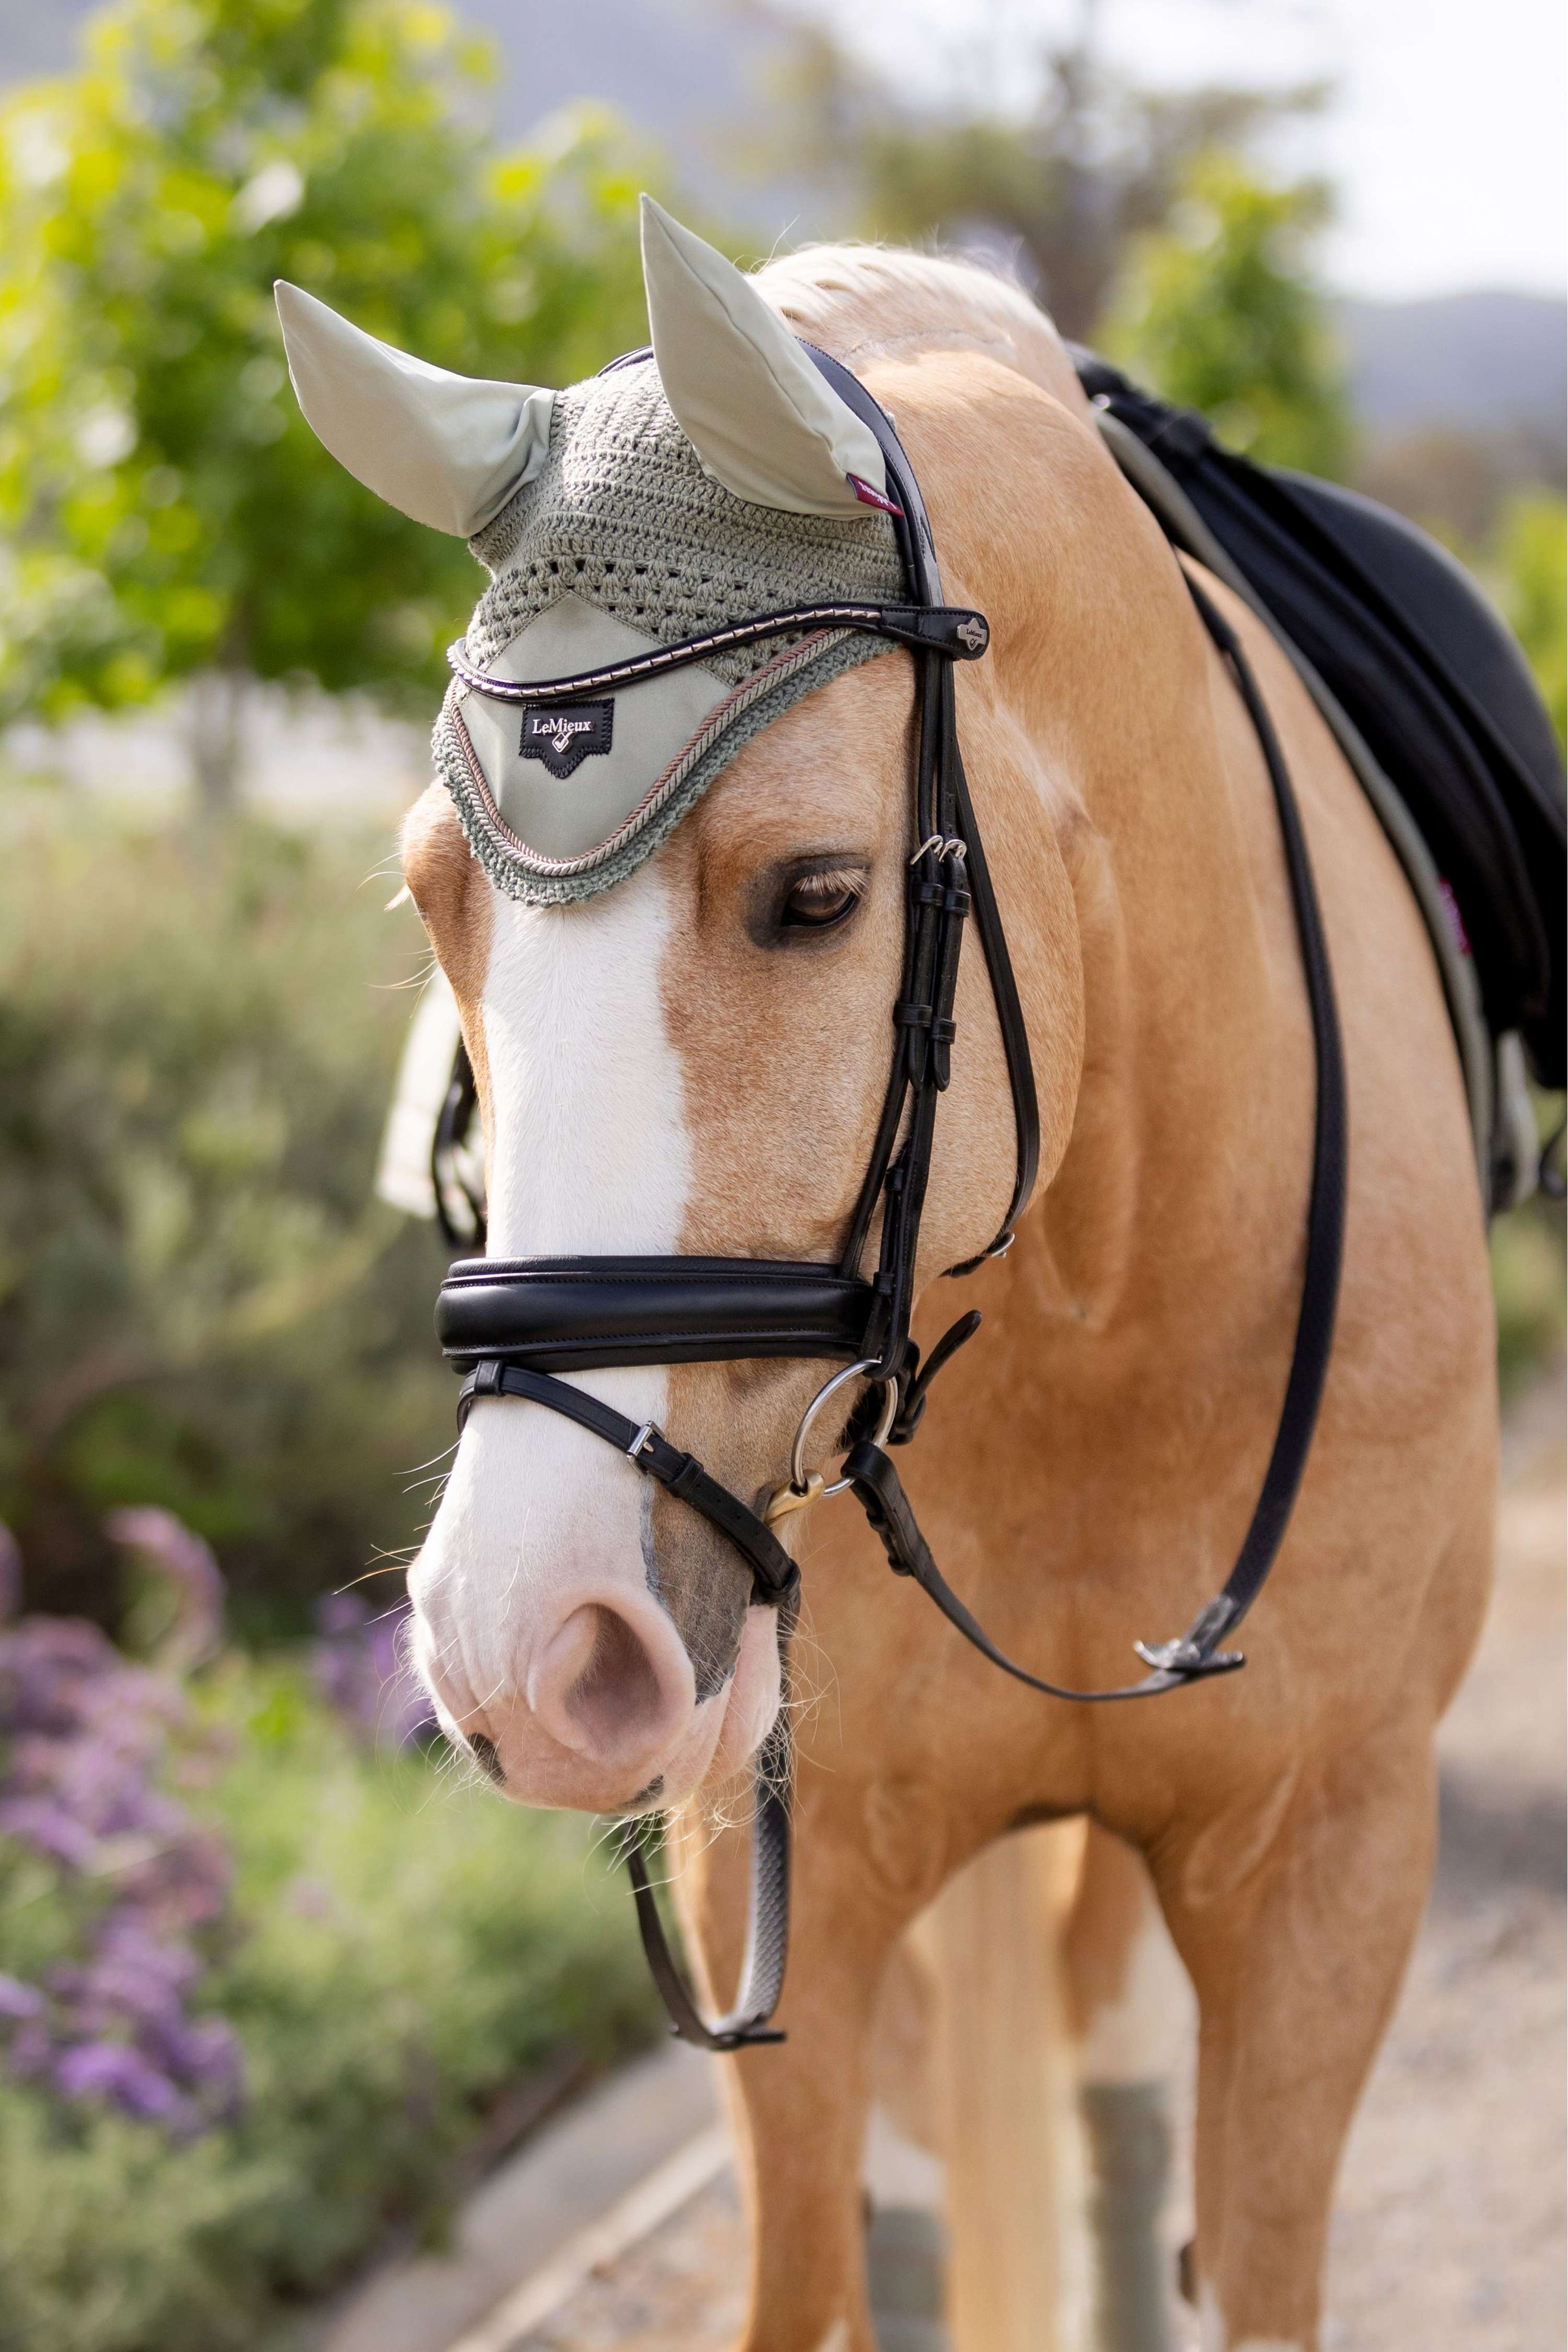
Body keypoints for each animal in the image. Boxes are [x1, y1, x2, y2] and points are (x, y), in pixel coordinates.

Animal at [282, 216, 1495, 2333]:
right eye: (435, 899)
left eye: (820, 895)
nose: (524, 1649)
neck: (1108, 1300)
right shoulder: (781, 1872)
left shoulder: (1328, 1871)